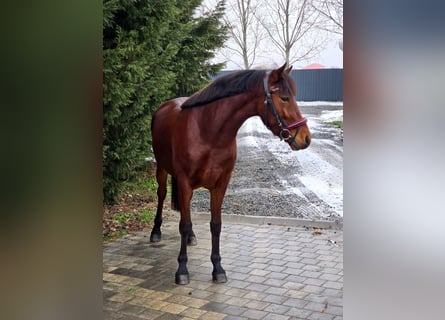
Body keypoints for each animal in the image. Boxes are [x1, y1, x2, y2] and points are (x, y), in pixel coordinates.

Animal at [151, 63, 310, 284]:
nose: (306, 138)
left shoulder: (221, 184)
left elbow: (215, 224)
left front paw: (218, 268)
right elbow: (183, 224)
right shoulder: (184, 182)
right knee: (162, 194)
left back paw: (191, 236)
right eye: (285, 98)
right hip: (162, 169)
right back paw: (155, 231)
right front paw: (182, 270)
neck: (207, 131)